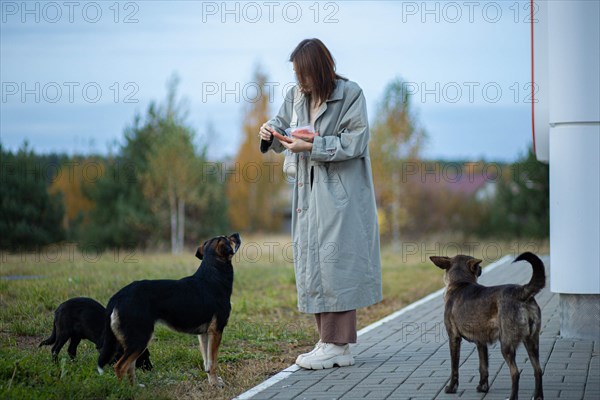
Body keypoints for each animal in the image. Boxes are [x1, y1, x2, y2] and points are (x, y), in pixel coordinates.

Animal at [97, 233, 240, 386]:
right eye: (228, 238)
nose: (236, 234)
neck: (213, 277)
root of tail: (118, 296)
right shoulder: (216, 331)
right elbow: (213, 363)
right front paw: (216, 384)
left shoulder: (205, 334)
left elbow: (207, 362)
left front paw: (211, 381)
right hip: (140, 338)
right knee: (120, 367)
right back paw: (125, 389)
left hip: (131, 341)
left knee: (130, 366)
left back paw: (135, 386)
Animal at [428, 253, 548, 400]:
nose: (481, 268)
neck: (460, 283)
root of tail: (522, 291)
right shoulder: (481, 342)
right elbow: (483, 366)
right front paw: (483, 387)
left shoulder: (454, 338)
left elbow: (454, 367)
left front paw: (451, 388)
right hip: (532, 342)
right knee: (538, 370)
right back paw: (538, 396)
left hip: (506, 345)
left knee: (515, 373)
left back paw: (512, 397)